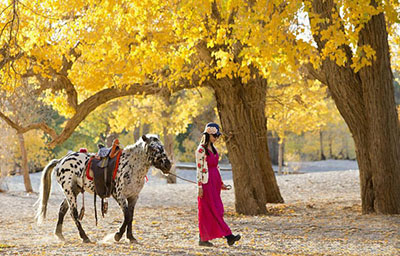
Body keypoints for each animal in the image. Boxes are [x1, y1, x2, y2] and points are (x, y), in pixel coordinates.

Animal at [35, 135, 171, 243]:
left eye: (162, 147)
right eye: (153, 148)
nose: (167, 164)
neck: (131, 165)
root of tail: (61, 160)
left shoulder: (133, 197)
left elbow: (131, 217)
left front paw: (131, 237)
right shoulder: (119, 195)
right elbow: (127, 216)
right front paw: (117, 236)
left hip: (74, 190)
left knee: (62, 209)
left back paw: (60, 235)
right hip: (69, 191)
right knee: (73, 213)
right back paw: (84, 237)